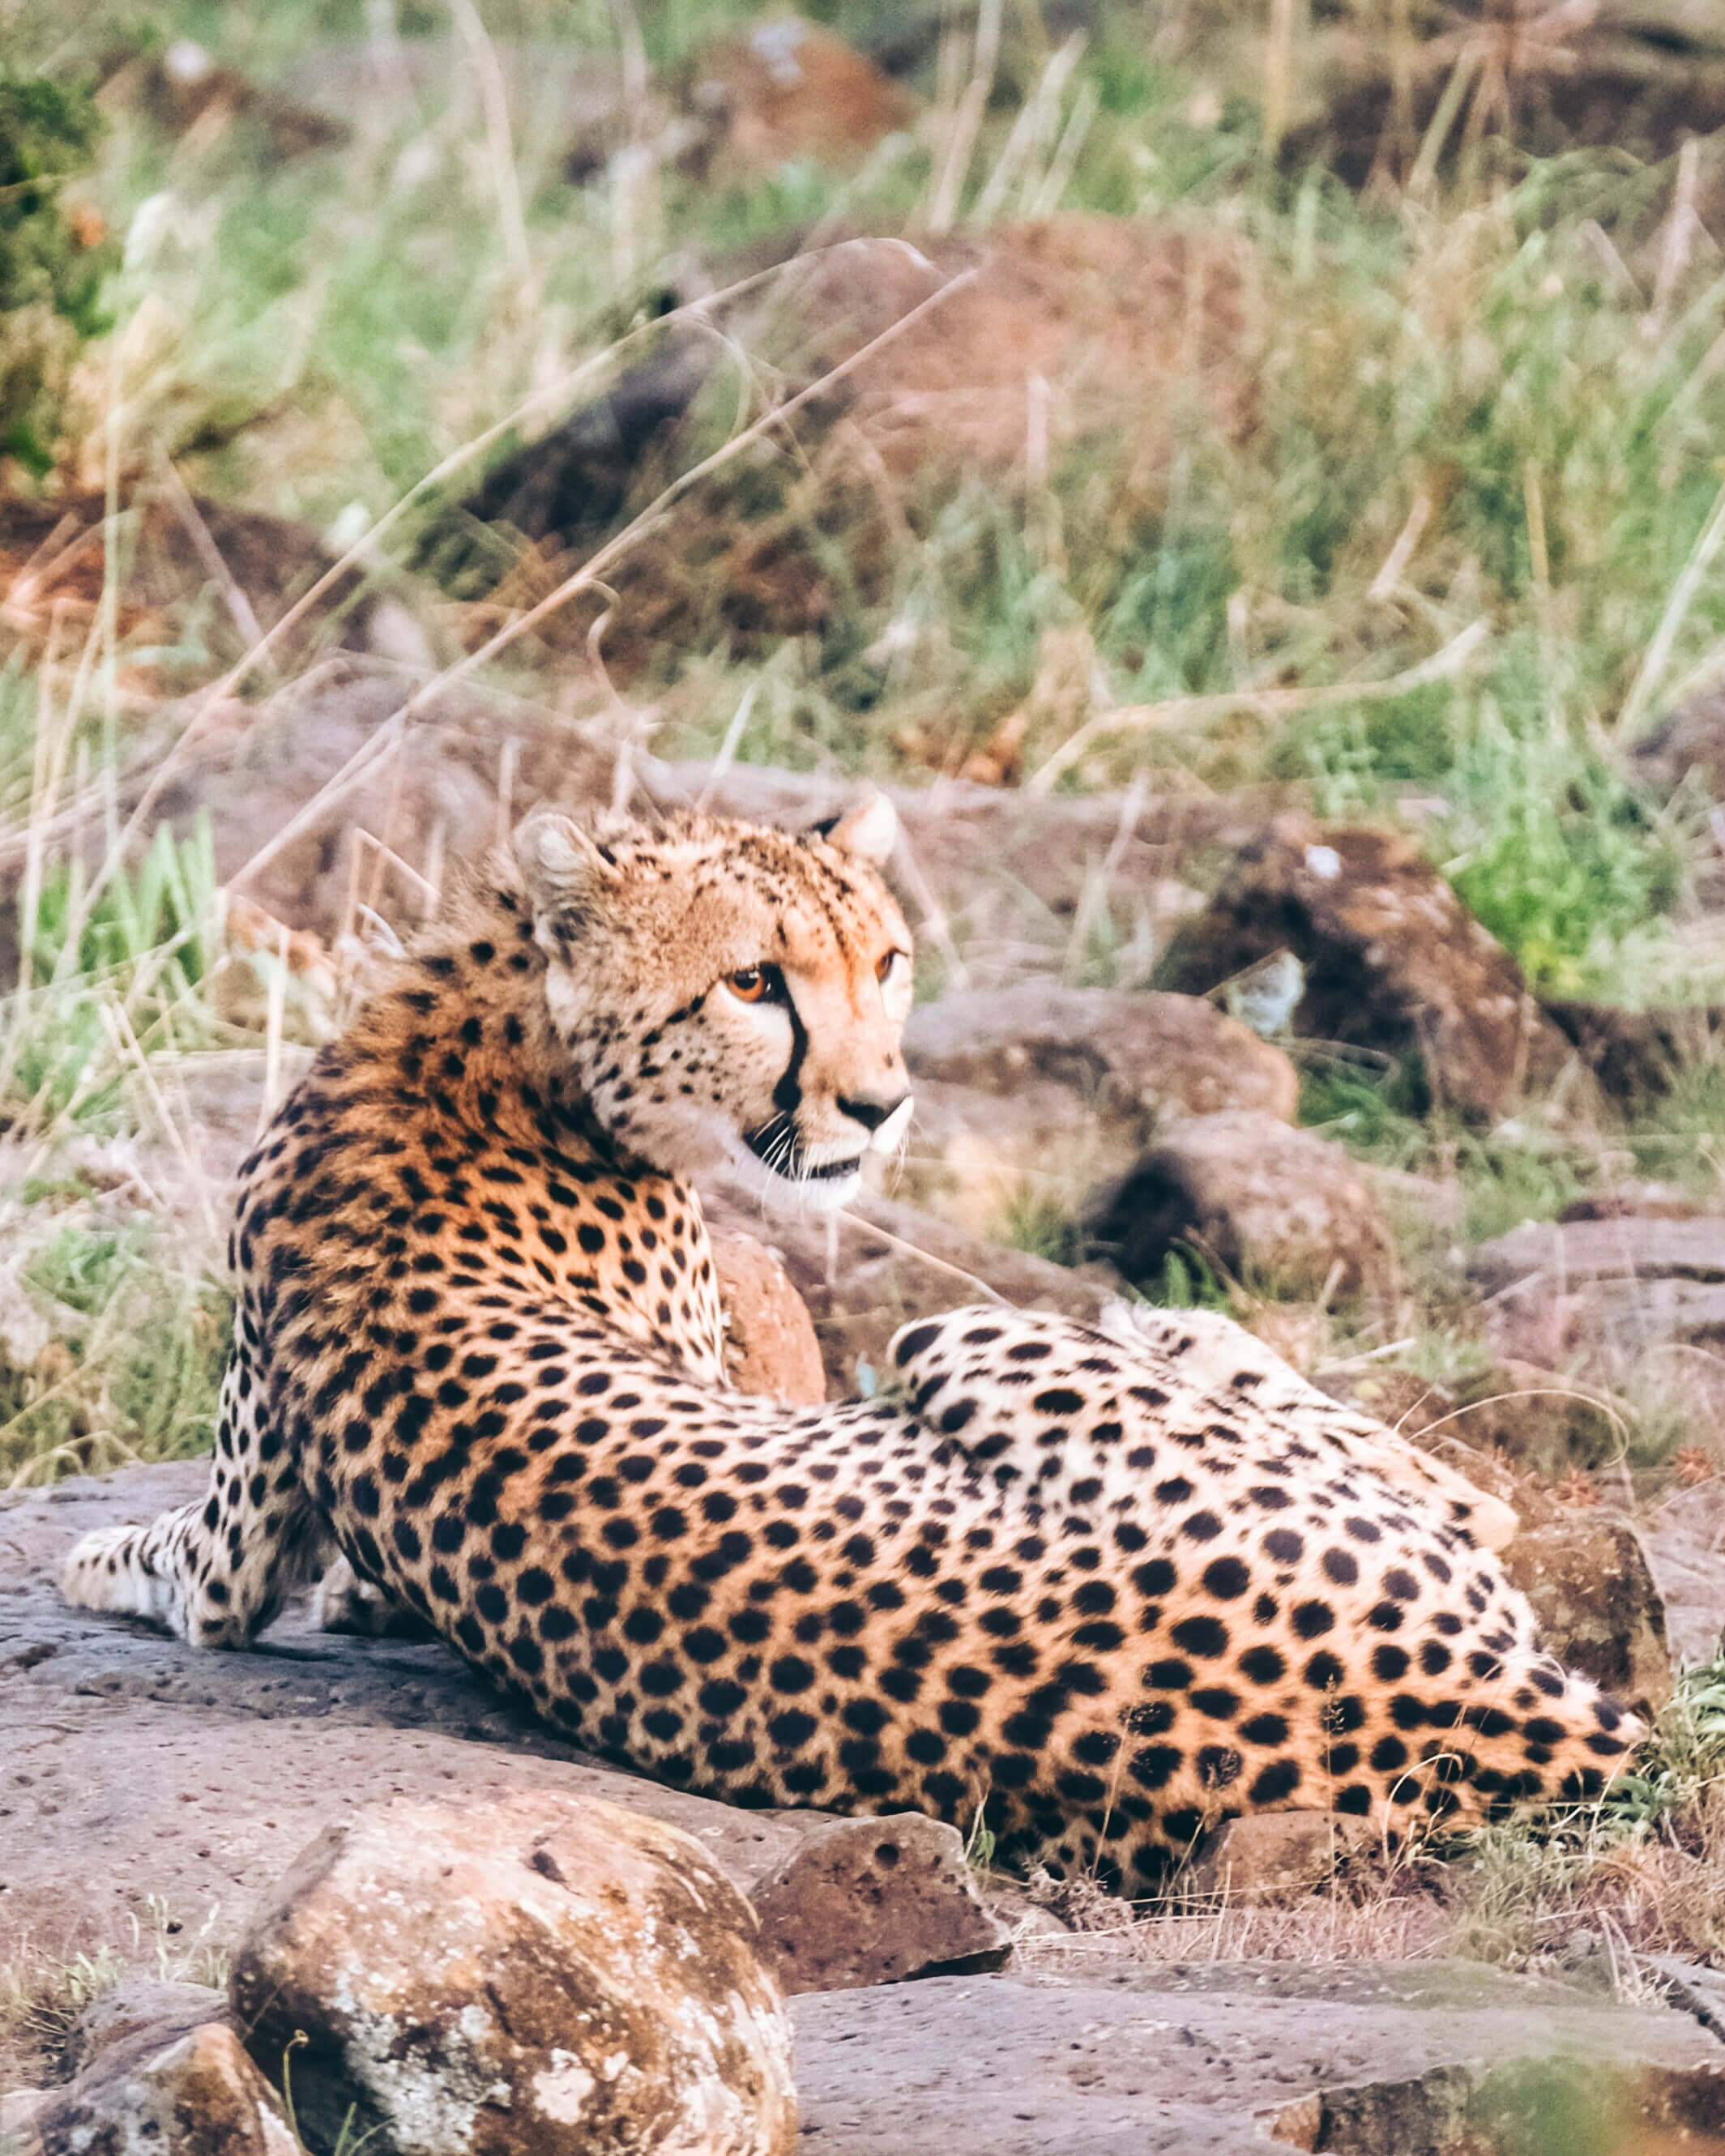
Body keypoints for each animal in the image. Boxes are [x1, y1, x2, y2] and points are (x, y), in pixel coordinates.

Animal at [57, 797, 1647, 1889]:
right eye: (752, 982)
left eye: (884, 959)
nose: (880, 1107)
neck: (494, 1036)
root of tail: (1485, 1713)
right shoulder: (247, 1544)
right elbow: (195, 1578)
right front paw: (97, 1557)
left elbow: (196, 1570)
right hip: (981, 1338)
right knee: (1456, 1494)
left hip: (971, 1335)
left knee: (1447, 1484)